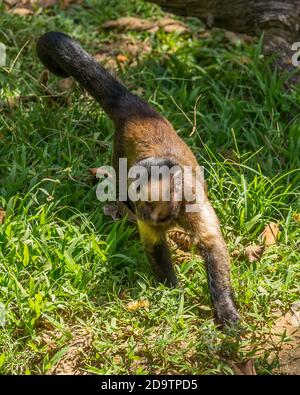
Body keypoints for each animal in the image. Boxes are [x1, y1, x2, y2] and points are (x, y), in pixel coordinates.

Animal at [36, 31, 240, 328]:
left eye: (149, 202)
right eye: (139, 199)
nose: (139, 211)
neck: (170, 215)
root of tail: (135, 109)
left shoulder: (191, 200)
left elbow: (213, 244)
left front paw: (225, 309)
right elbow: (155, 246)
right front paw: (173, 293)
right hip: (120, 149)